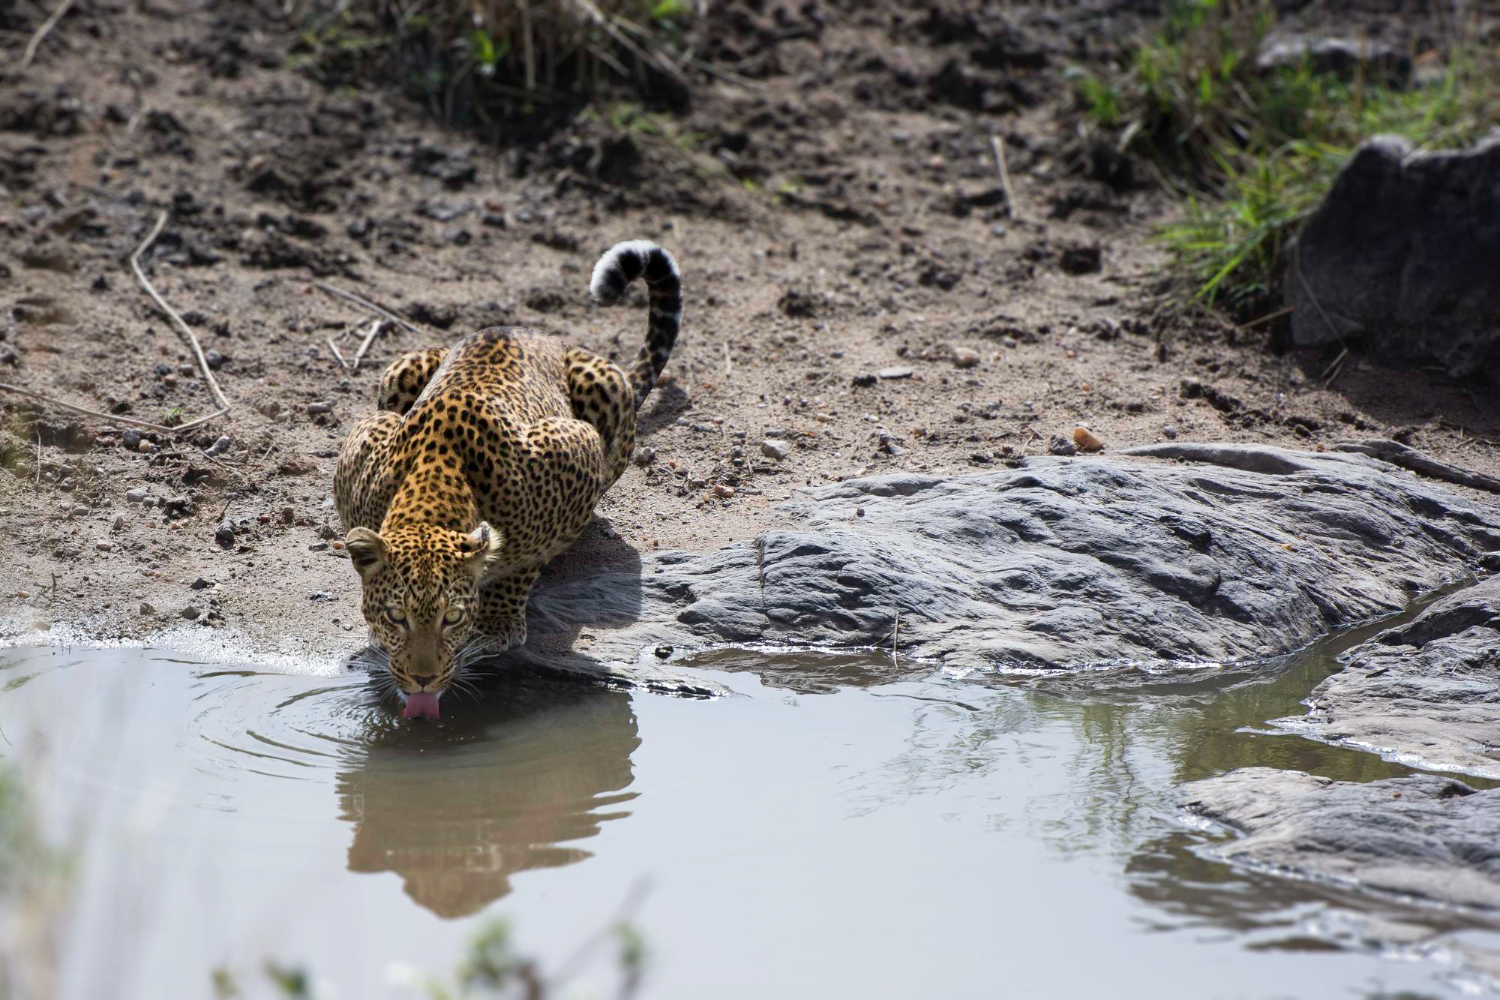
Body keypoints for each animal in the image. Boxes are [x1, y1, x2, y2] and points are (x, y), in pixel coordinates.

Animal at [336, 241, 687, 719]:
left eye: (452, 618)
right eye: (396, 617)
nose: (423, 679)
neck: (435, 477)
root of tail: (538, 332)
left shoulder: (573, 450)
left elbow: (523, 561)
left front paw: (497, 622)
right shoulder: (362, 449)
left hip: (607, 388)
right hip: (400, 368)